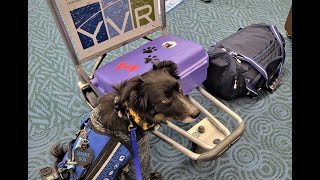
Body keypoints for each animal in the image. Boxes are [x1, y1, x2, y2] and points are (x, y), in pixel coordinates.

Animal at [50, 60, 200, 180]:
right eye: (165, 99)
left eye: (179, 88)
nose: (197, 113)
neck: (128, 115)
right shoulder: (138, 157)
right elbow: (144, 174)